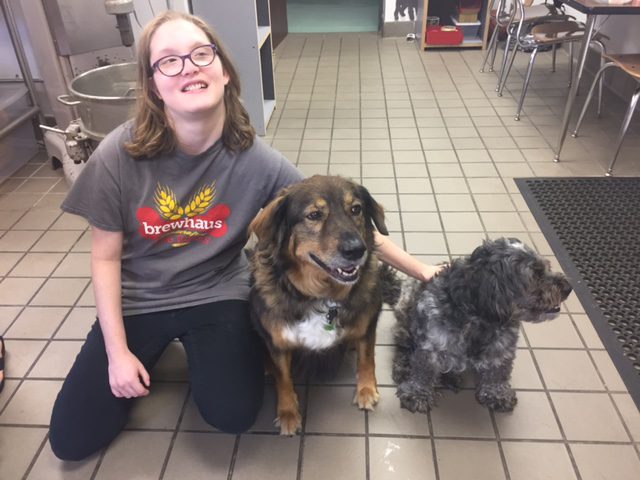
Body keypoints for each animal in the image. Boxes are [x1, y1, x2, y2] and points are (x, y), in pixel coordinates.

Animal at [249, 175, 390, 436]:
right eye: (314, 215)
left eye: (356, 209)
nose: (357, 250)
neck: (322, 297)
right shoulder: (277, 340)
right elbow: (283, 378)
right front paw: (288, 413)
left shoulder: (368, 322)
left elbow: (367, 358)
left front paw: (366, 389)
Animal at [382, 237, 572, 412]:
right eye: (536, 274)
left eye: (547, 267)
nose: (568, 287)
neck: (481, 319)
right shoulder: (432, 345)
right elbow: (424, 371)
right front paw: (418, 394)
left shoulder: (502, 348)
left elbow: (498, 372)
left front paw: (497, 394)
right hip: (405, 317)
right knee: (403, 347)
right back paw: (404, 366)